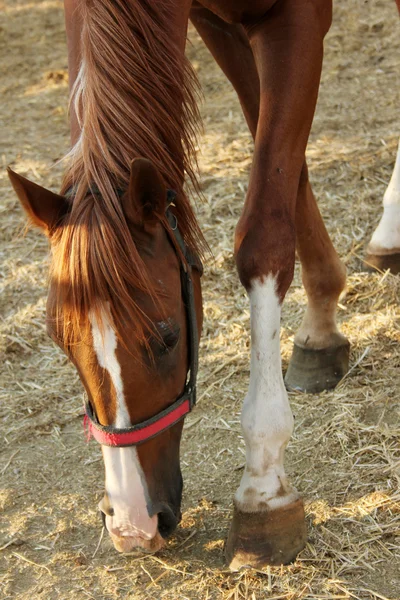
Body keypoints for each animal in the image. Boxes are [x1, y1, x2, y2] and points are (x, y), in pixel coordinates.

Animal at [8, 0, 376, 572]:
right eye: (62, 346)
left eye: (167, 338)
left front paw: (262, 487)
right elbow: (287, 169)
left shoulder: (293, 18)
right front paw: (321, 324)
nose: (133, 524)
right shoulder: (217, 25)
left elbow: (264, 234)